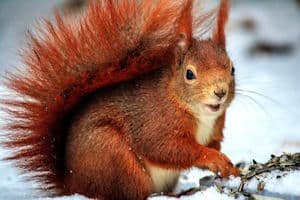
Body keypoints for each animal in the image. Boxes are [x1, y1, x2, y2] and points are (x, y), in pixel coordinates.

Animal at [0, 0, 239, 199]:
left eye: (232, 69)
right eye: (189, 74)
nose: (220, 92)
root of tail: (72, 184)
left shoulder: (216, 126)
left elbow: (211, 143)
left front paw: (227, 164)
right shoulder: (156, 123)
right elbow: (167, 149)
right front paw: (213, 157)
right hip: (115, 158)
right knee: (130, 193)